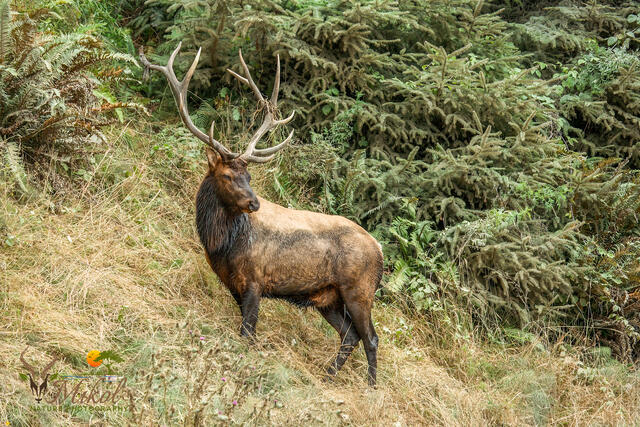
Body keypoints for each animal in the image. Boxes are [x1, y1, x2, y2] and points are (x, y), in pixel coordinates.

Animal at [139, 43, 383, 386]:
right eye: (229, 176)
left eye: (250, 176)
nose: (254, 203)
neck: (223, 244)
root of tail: (381, 250)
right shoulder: (231, 283)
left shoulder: (256, 279)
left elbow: (248, 332)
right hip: (328, 297)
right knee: (350, 335)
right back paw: (329, 374)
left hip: (359, 290)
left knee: (370, 337)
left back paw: (372, 386)